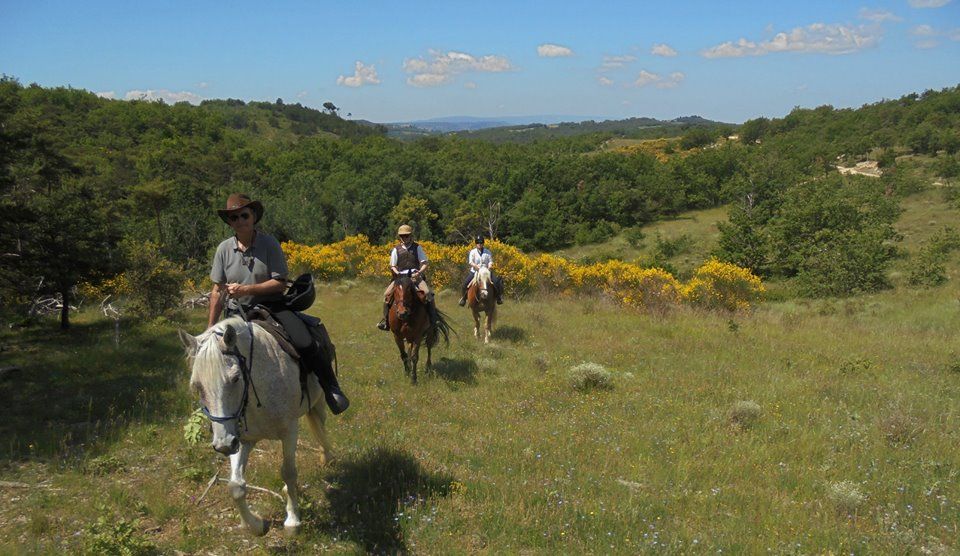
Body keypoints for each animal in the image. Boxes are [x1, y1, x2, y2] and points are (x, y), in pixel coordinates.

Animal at [178, 320, 332, 536]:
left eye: (235, 378)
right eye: (197, 386)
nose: (223, 445)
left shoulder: (289, 432)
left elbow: (289, 472)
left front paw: (293, 521)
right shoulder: (241, 440)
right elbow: (235, 486)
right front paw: (256, 525)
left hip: (318, 404)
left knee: (321, 428)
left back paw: (326, 456)